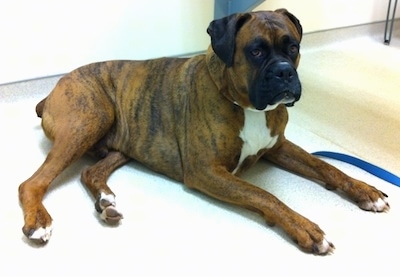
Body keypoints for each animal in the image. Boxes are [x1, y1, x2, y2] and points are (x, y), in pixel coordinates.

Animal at [18, 9, 388, 253]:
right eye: (256, 51)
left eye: (293, 47)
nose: (284, 72)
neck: (247, 106)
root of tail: (54, 88)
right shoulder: (207, 171)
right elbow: (265, 195)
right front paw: (305, 227)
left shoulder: (278, 147)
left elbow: (327, 167)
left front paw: (365, 191)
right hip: (90, 119)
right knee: (31, 183)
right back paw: (39, 223)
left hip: (124, 142)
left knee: (90, 172)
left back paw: (106, 202)